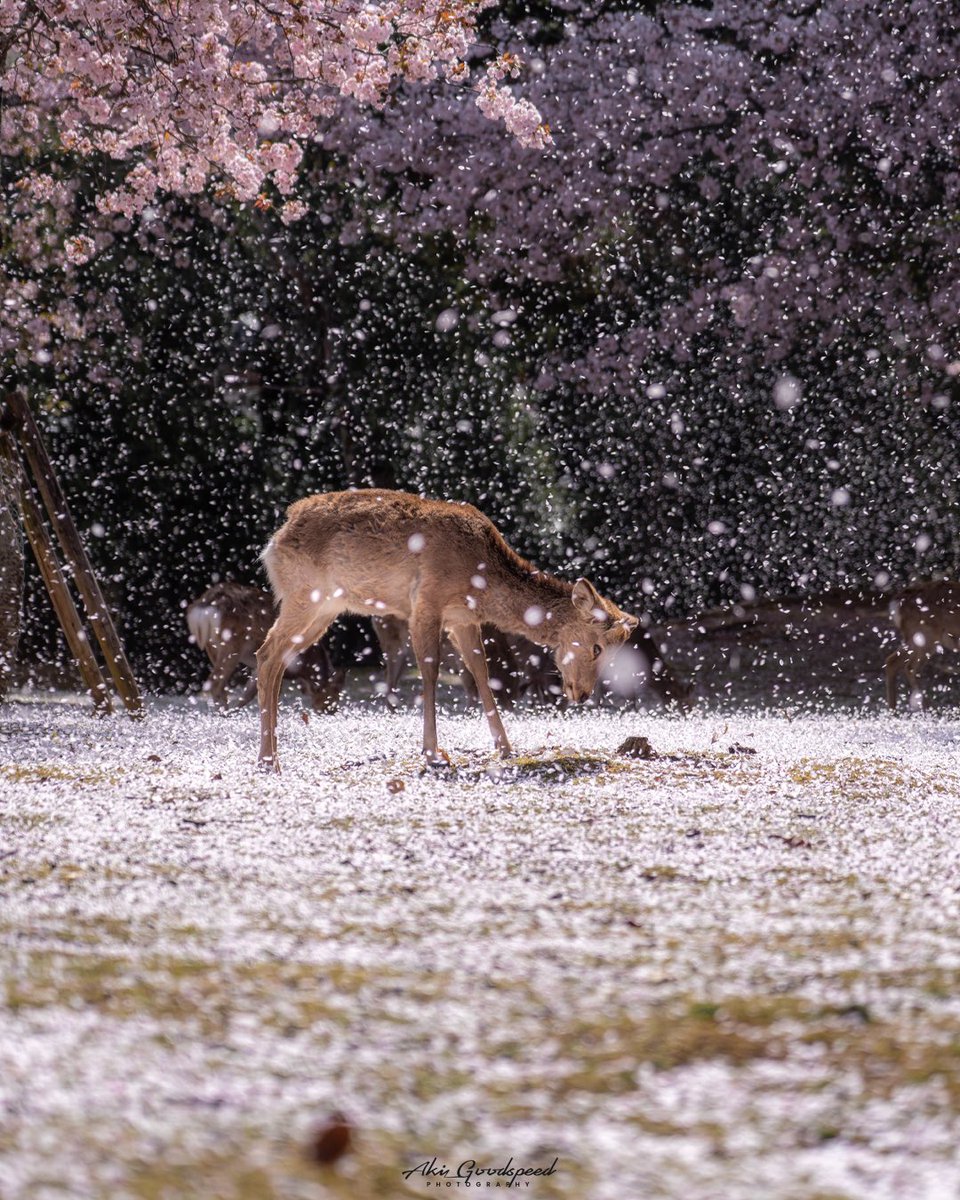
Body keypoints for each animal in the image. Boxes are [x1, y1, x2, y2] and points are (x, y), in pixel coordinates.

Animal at [186, 580, 343, 710]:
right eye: (330, 700)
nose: (332, 712)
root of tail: (204, 606)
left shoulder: (258, 666)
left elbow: (249, 692)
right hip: (231, 644)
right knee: (214, 682)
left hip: (211, 646)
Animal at [254, 487, 638, 768]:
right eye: (597, 647)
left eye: (614, 654)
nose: (583, 694)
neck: (482, 585)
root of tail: (273, 541)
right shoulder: (427, 602)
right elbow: (430, 670)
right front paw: (433, 752)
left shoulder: (463, 618)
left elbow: (481, 671)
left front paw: (506, 748)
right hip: (304, 594)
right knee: (267, 652)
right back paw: (269, 759)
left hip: (325, 608)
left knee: (277, 657)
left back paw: (269, 753)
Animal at [883, 580, 960, 710]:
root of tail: (896, 603)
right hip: (925, 635)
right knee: (909, 667)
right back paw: (927, 706)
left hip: (918, 638)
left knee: (893, 661)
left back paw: (893, 709)